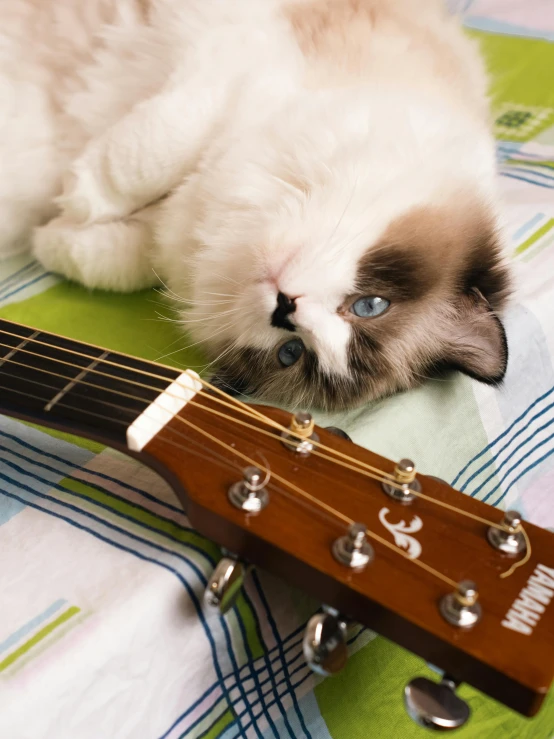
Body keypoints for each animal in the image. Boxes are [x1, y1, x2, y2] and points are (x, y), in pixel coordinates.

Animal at [0, 0, 508, 410]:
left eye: (292, 353)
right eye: (371, 305)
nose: (286, 308)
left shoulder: (171, 237)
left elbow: (113, 259)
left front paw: (53, 235)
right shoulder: (238, 58)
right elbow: (145, 158)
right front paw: (77, 192)